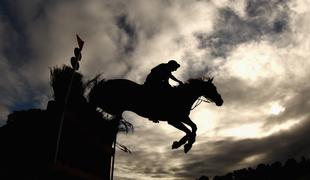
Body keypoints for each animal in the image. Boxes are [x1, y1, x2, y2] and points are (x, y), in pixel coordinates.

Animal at [88, 76, 224, 153]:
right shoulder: (173, 120)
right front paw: (182, 144)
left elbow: (194, 128)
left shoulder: (182, 117)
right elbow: (189, 131)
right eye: (212, 88)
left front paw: (185, 144)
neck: (182, 96)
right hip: (110, 106)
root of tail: (106, 83)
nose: (220, 101)